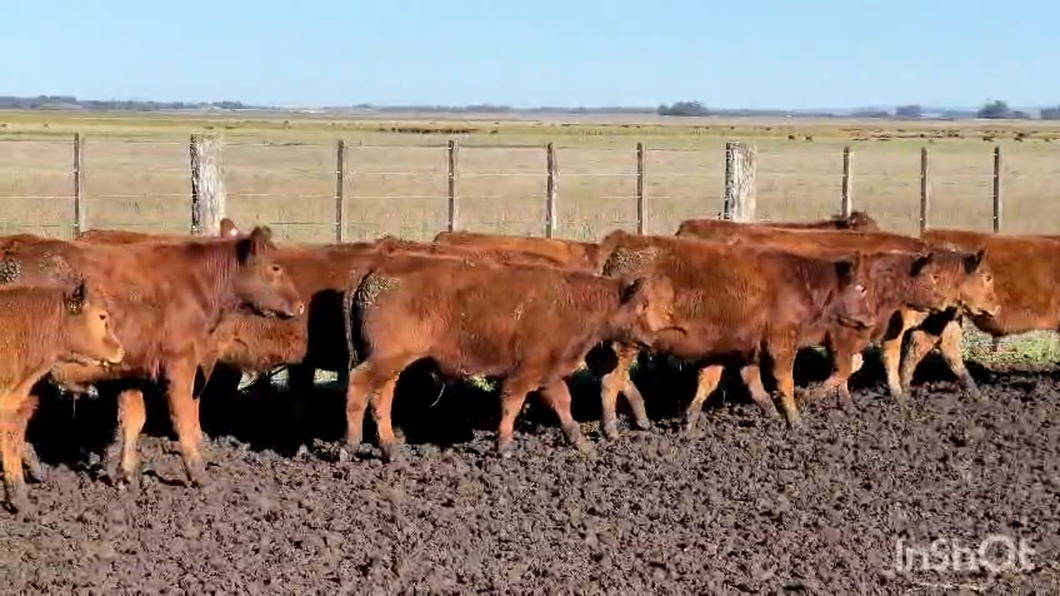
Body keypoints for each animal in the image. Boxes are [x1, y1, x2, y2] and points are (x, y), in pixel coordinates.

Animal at [0, 227, 304, 489]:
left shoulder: (130, 370)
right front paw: (198, 471)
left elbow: (134, 418)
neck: (195, 284)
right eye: (275, 267)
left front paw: (127, 473)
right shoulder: (180, 363)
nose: (300, 305)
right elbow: (185, 415)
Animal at [343, 254, 685, 461]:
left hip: (392, 363)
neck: (574, 304)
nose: (654, 338)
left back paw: (390, 448)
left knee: (381, 396)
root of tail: (378, 269)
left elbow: (563, 403)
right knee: (359, 386)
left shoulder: (549, 372)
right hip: (386, 359)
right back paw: (352, 443)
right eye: (643, 306)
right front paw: (504, 445)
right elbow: (512, 403)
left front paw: (580, 442)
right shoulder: (525, 373)